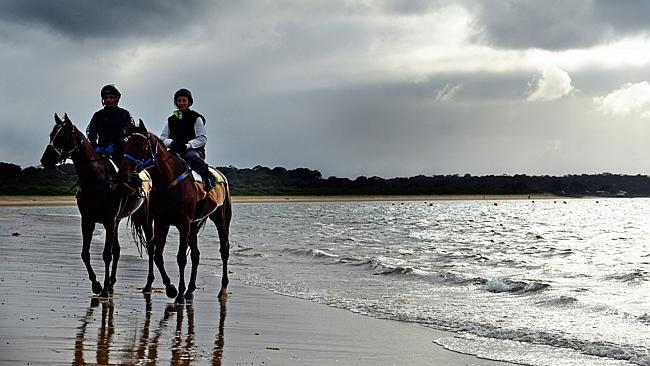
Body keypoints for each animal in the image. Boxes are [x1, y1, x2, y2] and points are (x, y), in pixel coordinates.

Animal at [40, 113, 152, 298]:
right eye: (51, 135)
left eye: (63, 136)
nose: (45, 160)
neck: (96, 180)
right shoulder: (88, 220)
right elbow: (85, 254)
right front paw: (97, 285)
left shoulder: (109, 221)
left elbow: (106, 254)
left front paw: (104, 289)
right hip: (117, 222)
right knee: (117, 250)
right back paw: (112, 282)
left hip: (144, 218)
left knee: (150, 246)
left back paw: (147, 284)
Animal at [117, 120, 232, 304]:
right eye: (126, 144)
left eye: (139, 145)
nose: (123, 174)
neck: (168, 183)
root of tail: (222, 176)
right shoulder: (161, 223)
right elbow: (157, 255)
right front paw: (171, 289)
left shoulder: (183, 223)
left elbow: (181, 258)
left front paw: (178, 293)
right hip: (194, 225)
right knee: (196, 255)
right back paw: (190, 290)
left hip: (221, 219)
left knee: (224, 250)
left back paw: (222, 289)